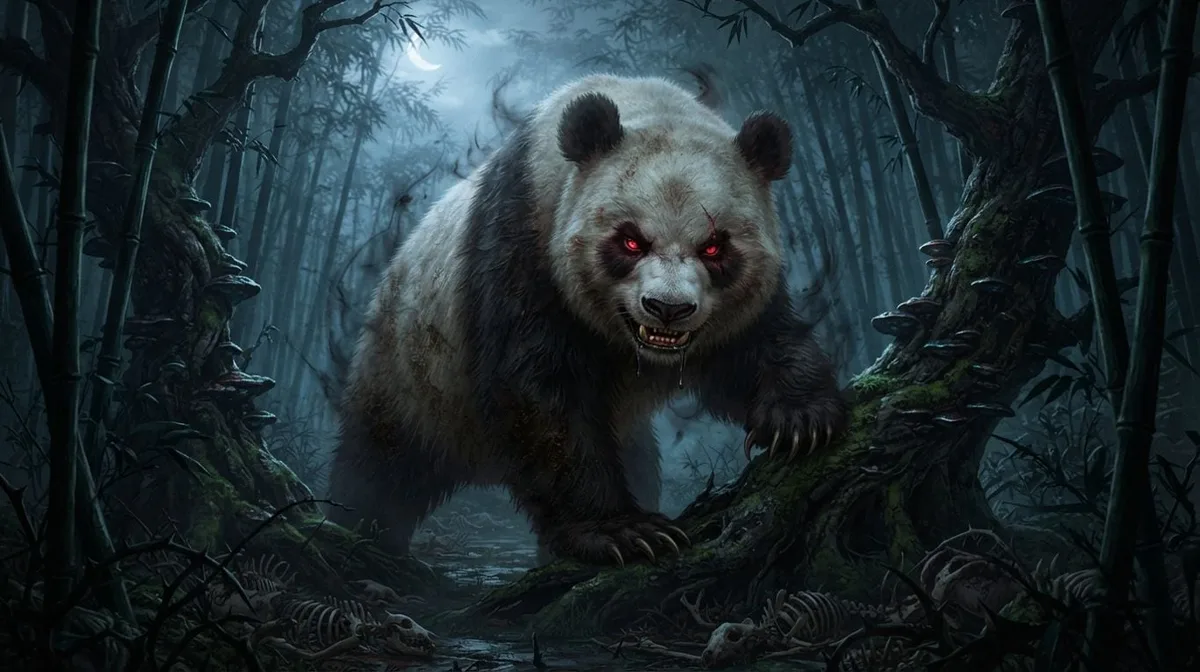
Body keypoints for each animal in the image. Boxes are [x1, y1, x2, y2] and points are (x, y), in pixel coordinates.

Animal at [328, 72, 848, 566]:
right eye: (631, 241)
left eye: (715, 247)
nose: (668, 309)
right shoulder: (522, 240)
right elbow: (537, 390)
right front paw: (622, 533)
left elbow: (755, 343)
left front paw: (799, 419)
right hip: (409, 375)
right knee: (378, 470)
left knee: (638, 459)